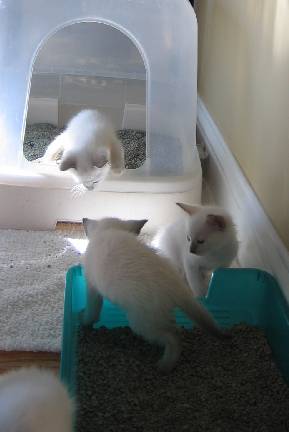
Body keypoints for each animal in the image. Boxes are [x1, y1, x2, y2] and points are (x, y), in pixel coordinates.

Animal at [81, 218, 227, 372]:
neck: (108, 231)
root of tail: (175, 286)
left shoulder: (91, 286)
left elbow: (91, 312)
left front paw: (83, 321)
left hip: (141, 323)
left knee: (174, 337)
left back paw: (165, 365)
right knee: (176, 329)